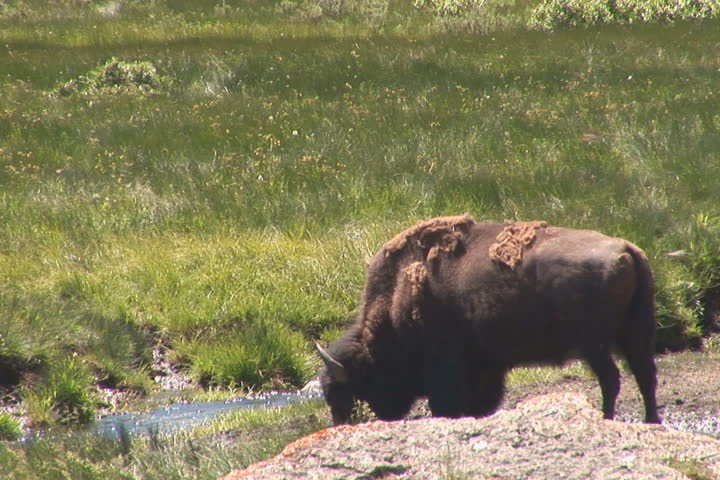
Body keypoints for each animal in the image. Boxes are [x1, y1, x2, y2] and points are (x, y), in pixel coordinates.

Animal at [317, 215, 660, 424]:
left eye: (349, 391)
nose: (341, 422)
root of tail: (625, 248)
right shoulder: (487, 367)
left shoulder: (448, 371)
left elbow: (450, 404)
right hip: (633, 334)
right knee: (644, 375)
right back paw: (651, 421)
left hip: (595, 344)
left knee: (612, 379)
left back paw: (609, 418)